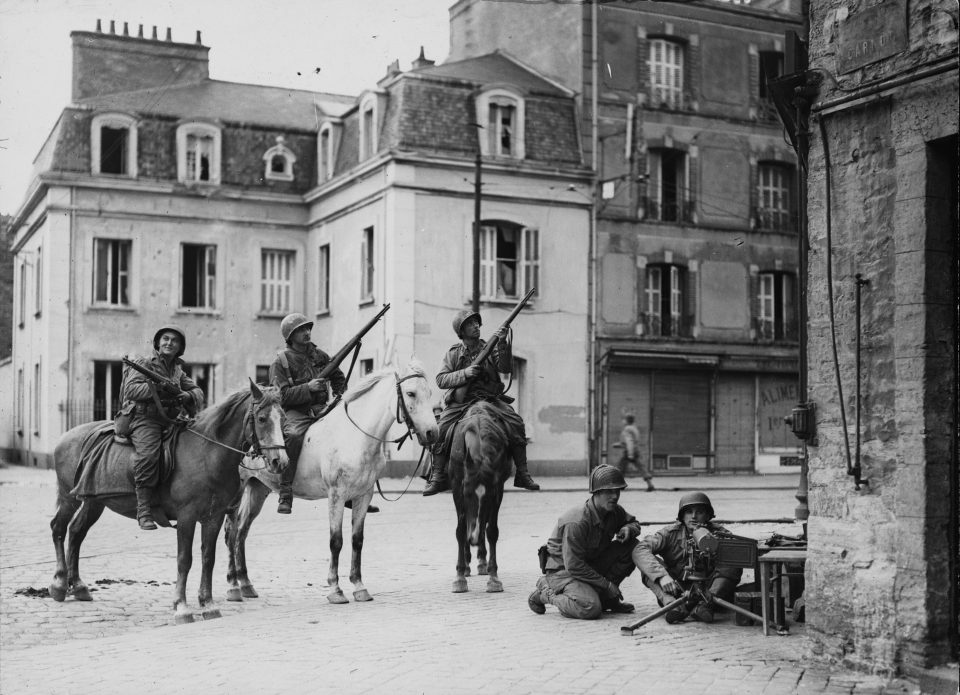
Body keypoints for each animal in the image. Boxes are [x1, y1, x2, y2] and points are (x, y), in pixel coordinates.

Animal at [48, 384, 286, 624]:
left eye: (283, 417)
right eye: (262, 418)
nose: (280, 461)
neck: (206, 452)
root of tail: (65, 437)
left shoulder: (214, 517)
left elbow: (208, 558)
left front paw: (207, 604)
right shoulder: (186, 517)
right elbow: (184, 560)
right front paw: (181, 607)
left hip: (93, 502)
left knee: (76, 532)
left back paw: (78, 586)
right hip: (70, 498)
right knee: (59, 528)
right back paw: (59, 584)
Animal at [223, 362, 436, 608]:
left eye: (430, 392)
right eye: (411, 393)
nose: (433, 432)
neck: (355, 436)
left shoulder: (364, 496)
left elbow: (357, 540)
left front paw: (359, 586)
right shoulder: (336, 496)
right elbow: (336, 541)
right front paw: (335, 589)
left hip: (258, 489)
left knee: (242, 532)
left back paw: (246, 584)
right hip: (237, 491)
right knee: (231, 532)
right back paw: (233, 586)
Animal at [452, 402, 516, 592]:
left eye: (488, 497)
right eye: (467, 495)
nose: (472, 538)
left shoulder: (497, 490)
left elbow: (491, 531)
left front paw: (494, 578)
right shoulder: (457, 488)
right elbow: (460, 530)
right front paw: (459, 576)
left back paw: (482, 560)